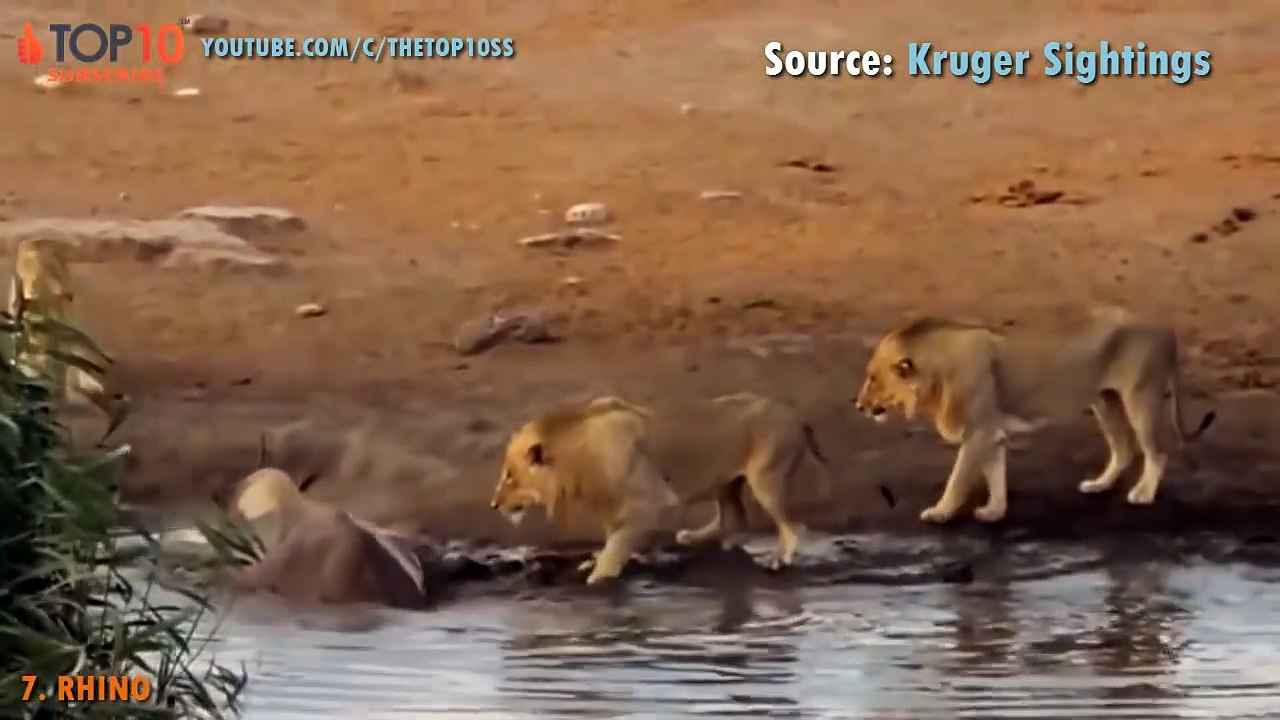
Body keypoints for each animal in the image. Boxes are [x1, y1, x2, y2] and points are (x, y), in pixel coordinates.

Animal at [490, 393, 833, 585]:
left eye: (510, 477)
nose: (494, 505)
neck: (577, 456)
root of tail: (797, 416)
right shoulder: (611, 506)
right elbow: (612, 538)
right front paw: (594, 560)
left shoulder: (657, 502)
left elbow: (618, 543)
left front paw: (599, 576)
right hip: (727, 481)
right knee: (734, 518)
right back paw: (692, 536)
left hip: (767, 478)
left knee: (792, 526)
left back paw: (780, 561)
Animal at [853, 310, 1216, 524]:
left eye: (873, 378)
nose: (858, 406)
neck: (937, 372)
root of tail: (1166, 326)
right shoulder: (991, 433)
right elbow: (995, 475)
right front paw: (994, 511)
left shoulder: (978, 431)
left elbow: (957, 478)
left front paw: (940, 512)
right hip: (1106, 401)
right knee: (1125, 447)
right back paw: (1099, 485)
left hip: (1141, 396)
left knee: (1157, 450)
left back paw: (1143, 495)